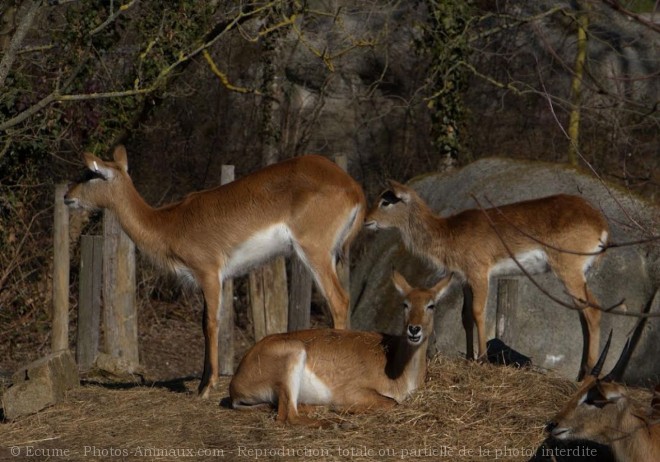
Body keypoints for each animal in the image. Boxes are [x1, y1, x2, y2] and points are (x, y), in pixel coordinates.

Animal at [62, 145, 366, 398]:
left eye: (92, 173)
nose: (67, 197)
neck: (168, 224)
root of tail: (354, 187)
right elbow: (202, 323)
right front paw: (200, 384)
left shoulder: (209, 273)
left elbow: (211, 323)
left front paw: (208, 387)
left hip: (314, 252)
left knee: (339, 300)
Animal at [228, 270, 454, 426]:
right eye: (405, 304)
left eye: (431, 305)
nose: (414, 329)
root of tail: (235, 384)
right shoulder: (353, 391)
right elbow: (392, 403)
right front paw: (343, 409)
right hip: (294, 354)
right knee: (287, 416)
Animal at [364, 179, 612, 378]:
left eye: (387, 200)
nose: (366, 220)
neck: (448, 232)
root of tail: (600, 222)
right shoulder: (464, 279)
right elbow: (465, 316)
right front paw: (468, 358)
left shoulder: (480, 273)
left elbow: (478, 312)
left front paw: (482, 358)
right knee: (584, 315)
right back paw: (580, 372)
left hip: (569, 272)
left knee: (593, 310)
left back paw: (588, 373)